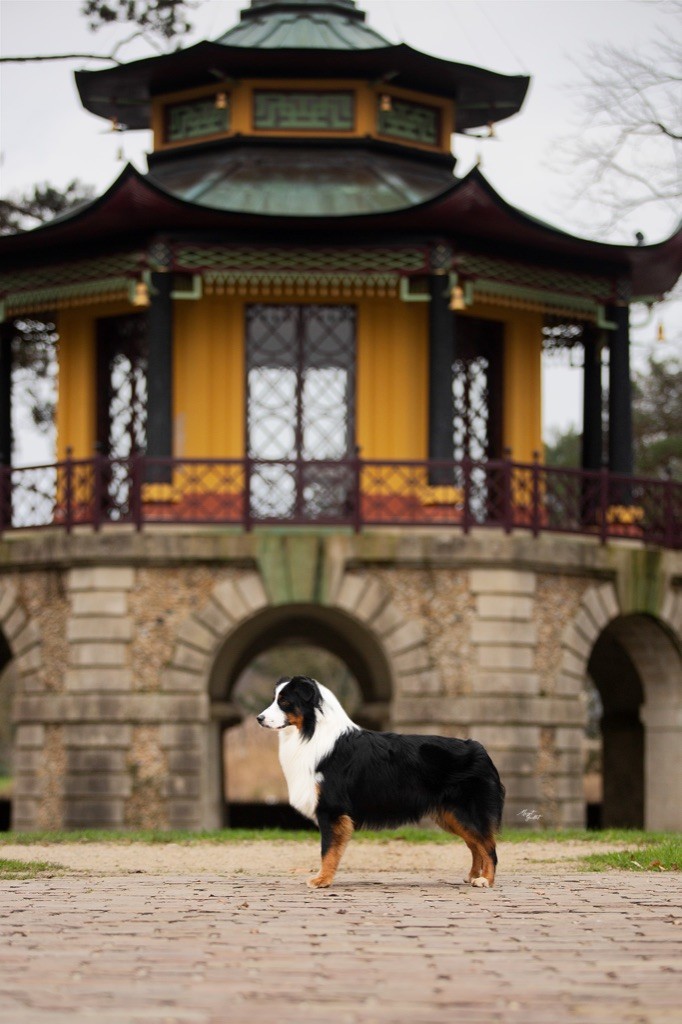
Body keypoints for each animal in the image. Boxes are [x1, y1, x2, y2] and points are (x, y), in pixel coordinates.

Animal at [254, 671, 499, 888]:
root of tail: (479, 747)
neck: (311, 733)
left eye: (284, 701)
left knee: (489, 847)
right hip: (452, 815)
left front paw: (321, 880)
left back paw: (485, 880)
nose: (259, 718)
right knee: (475, 845)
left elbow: (327, 849)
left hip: (466, 812)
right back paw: (473, 876)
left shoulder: (331, 809)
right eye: (275, 699)